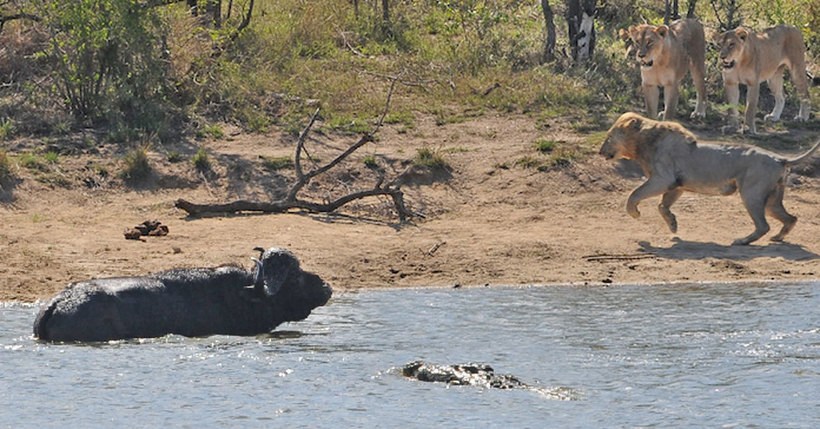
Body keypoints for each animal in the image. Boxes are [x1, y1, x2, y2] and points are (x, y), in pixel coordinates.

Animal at [596, 112, 820, 244]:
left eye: (608, 137)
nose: (599, 152)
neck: (643, 144)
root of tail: (780, 158)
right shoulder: (676, 185)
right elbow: (662, 206)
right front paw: (673, 224)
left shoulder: (663, 178)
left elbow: (635, 193)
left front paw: (634, 213)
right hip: (771, 199)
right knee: (791, 217)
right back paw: (778, 238)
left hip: (752, 193)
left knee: (763, 225)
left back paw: (742, 241)